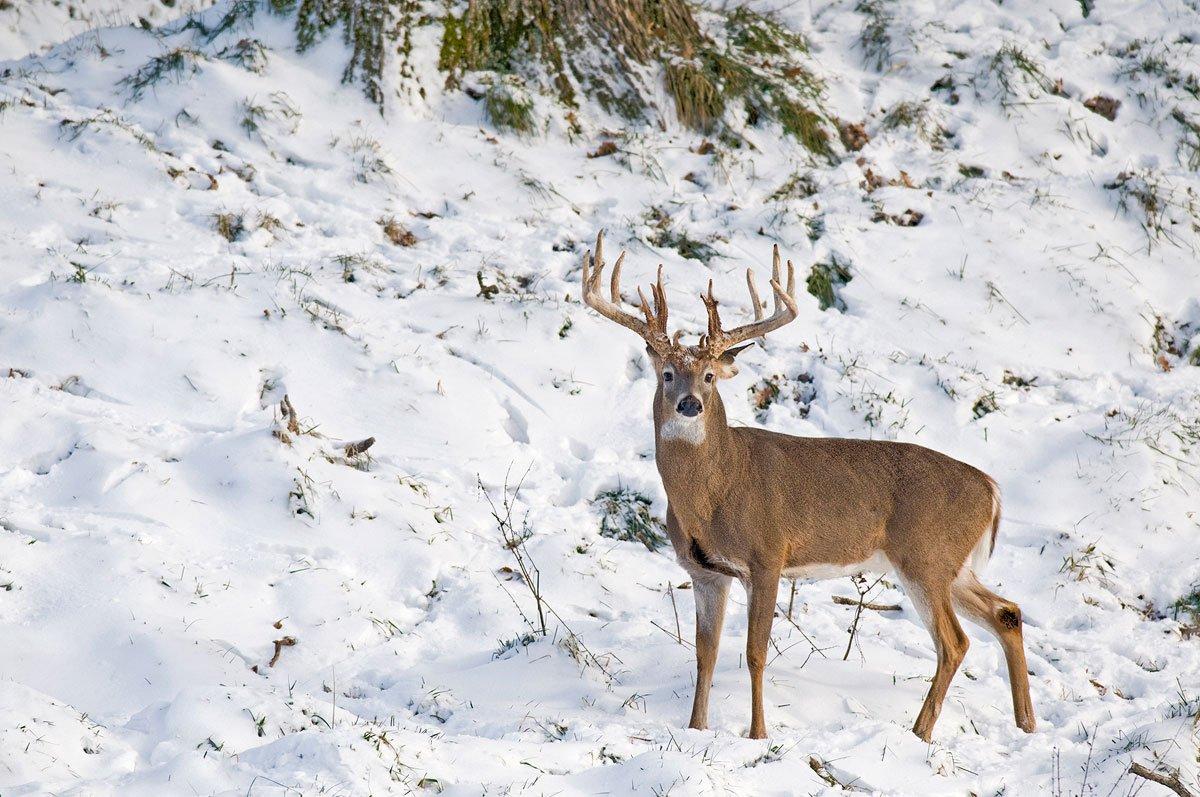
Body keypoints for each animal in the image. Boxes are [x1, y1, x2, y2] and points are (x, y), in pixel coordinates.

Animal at [580, 230, 1032, 739]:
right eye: (668, 374)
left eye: (710, 376)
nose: (690, 404)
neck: (715, 492)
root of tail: (991, 490)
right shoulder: (704, 571)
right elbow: (705, 654)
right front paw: (696, 728)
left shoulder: (768, 554)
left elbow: (755, 653)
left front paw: (758, 735)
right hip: (954, 564)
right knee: (1007, 613)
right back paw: (1025, 725)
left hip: (926, 557)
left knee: (955, 642)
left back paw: (920, 732)